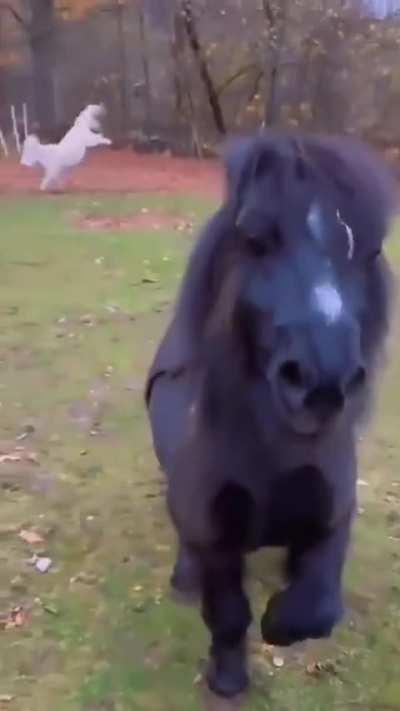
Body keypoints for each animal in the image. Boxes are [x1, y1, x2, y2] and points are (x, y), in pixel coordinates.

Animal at [145, 132, 395, 698]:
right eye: (255, 236)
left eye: (372, 250)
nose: (322, 383)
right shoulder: (213, 533)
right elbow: (229, 613)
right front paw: (228, 679)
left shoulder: (334, 514)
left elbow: (317, 609)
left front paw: (282, 619)